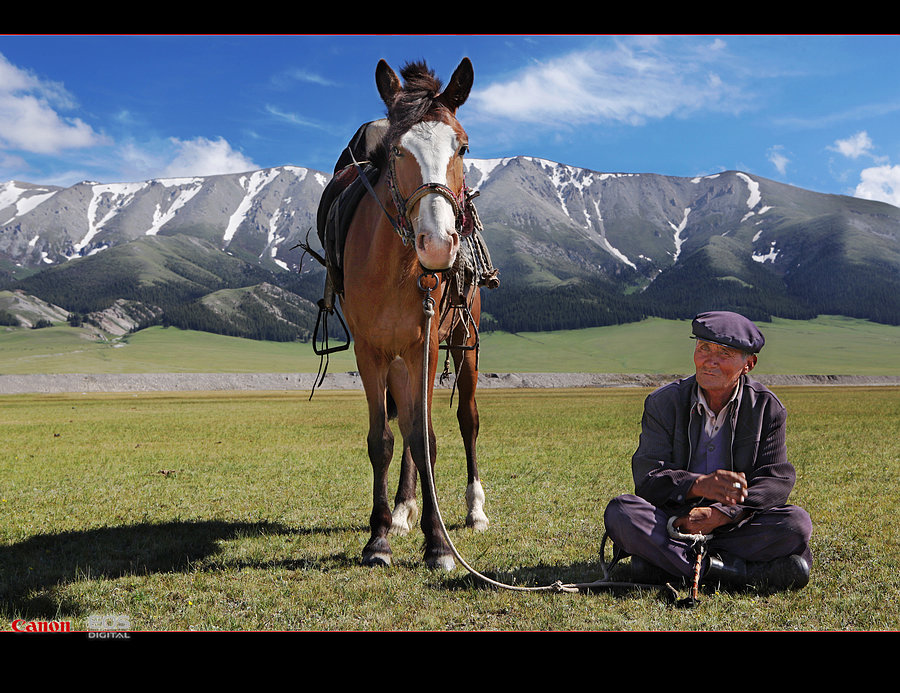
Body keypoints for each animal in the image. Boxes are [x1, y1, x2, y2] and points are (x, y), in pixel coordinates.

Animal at [340, 58, 488, 570]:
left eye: (463, 146)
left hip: (464, 341)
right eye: (396, 150)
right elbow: (384, 439)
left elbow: (427, 440)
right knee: (403, 426)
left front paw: (438, 543)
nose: (438, 244)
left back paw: (474, 509)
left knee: (467, 418)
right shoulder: (370, 351)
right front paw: (379, 537)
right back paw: (404, 511)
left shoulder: (425, 343)